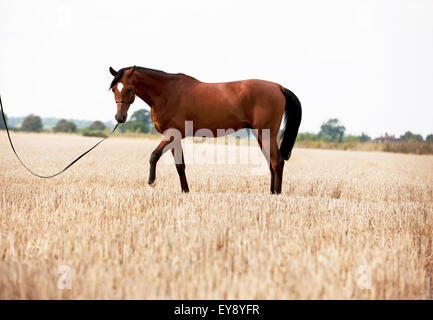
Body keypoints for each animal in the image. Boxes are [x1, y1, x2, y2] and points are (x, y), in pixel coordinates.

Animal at [109, 66, 302, 194]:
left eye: (129, 89)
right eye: (114, 89)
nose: (120, 118)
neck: (167, 93)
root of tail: (278, 87)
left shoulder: (172, 134)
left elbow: (154, 155)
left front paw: (152, 182)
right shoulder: (174, 137)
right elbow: (180, 165)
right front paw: (185, 191)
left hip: (266, 133)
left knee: (277, 162)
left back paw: (276, 194)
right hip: (262, 134)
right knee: (271, 163)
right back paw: (271, 193)